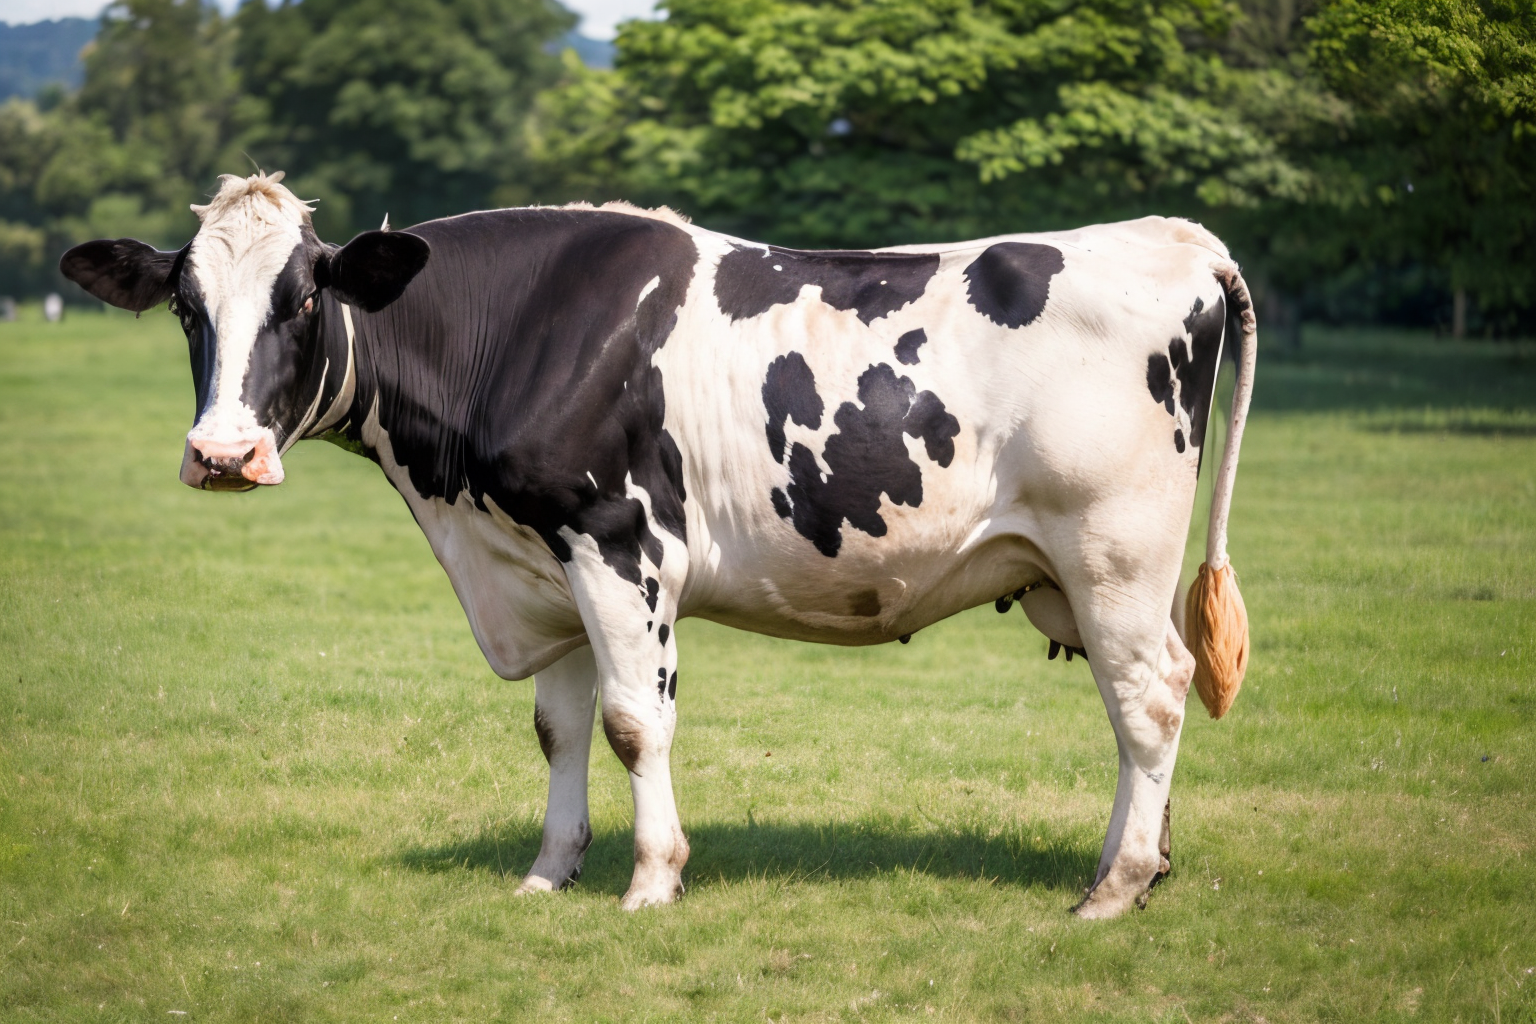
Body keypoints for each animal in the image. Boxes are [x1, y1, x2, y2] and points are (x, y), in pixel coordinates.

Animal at [60, 171, 1254, 919]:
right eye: (186, 306)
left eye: (303, 299)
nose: (222, 454)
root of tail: (1172, 236)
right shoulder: (542, 561)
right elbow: (558, 728)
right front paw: (549, 875)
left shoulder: (619, 546)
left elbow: (635, 723)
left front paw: (650, 880)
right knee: (1135, 706)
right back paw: (1136, 867)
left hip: (1112, 552)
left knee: (1150, 698)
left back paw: (1111, 889)